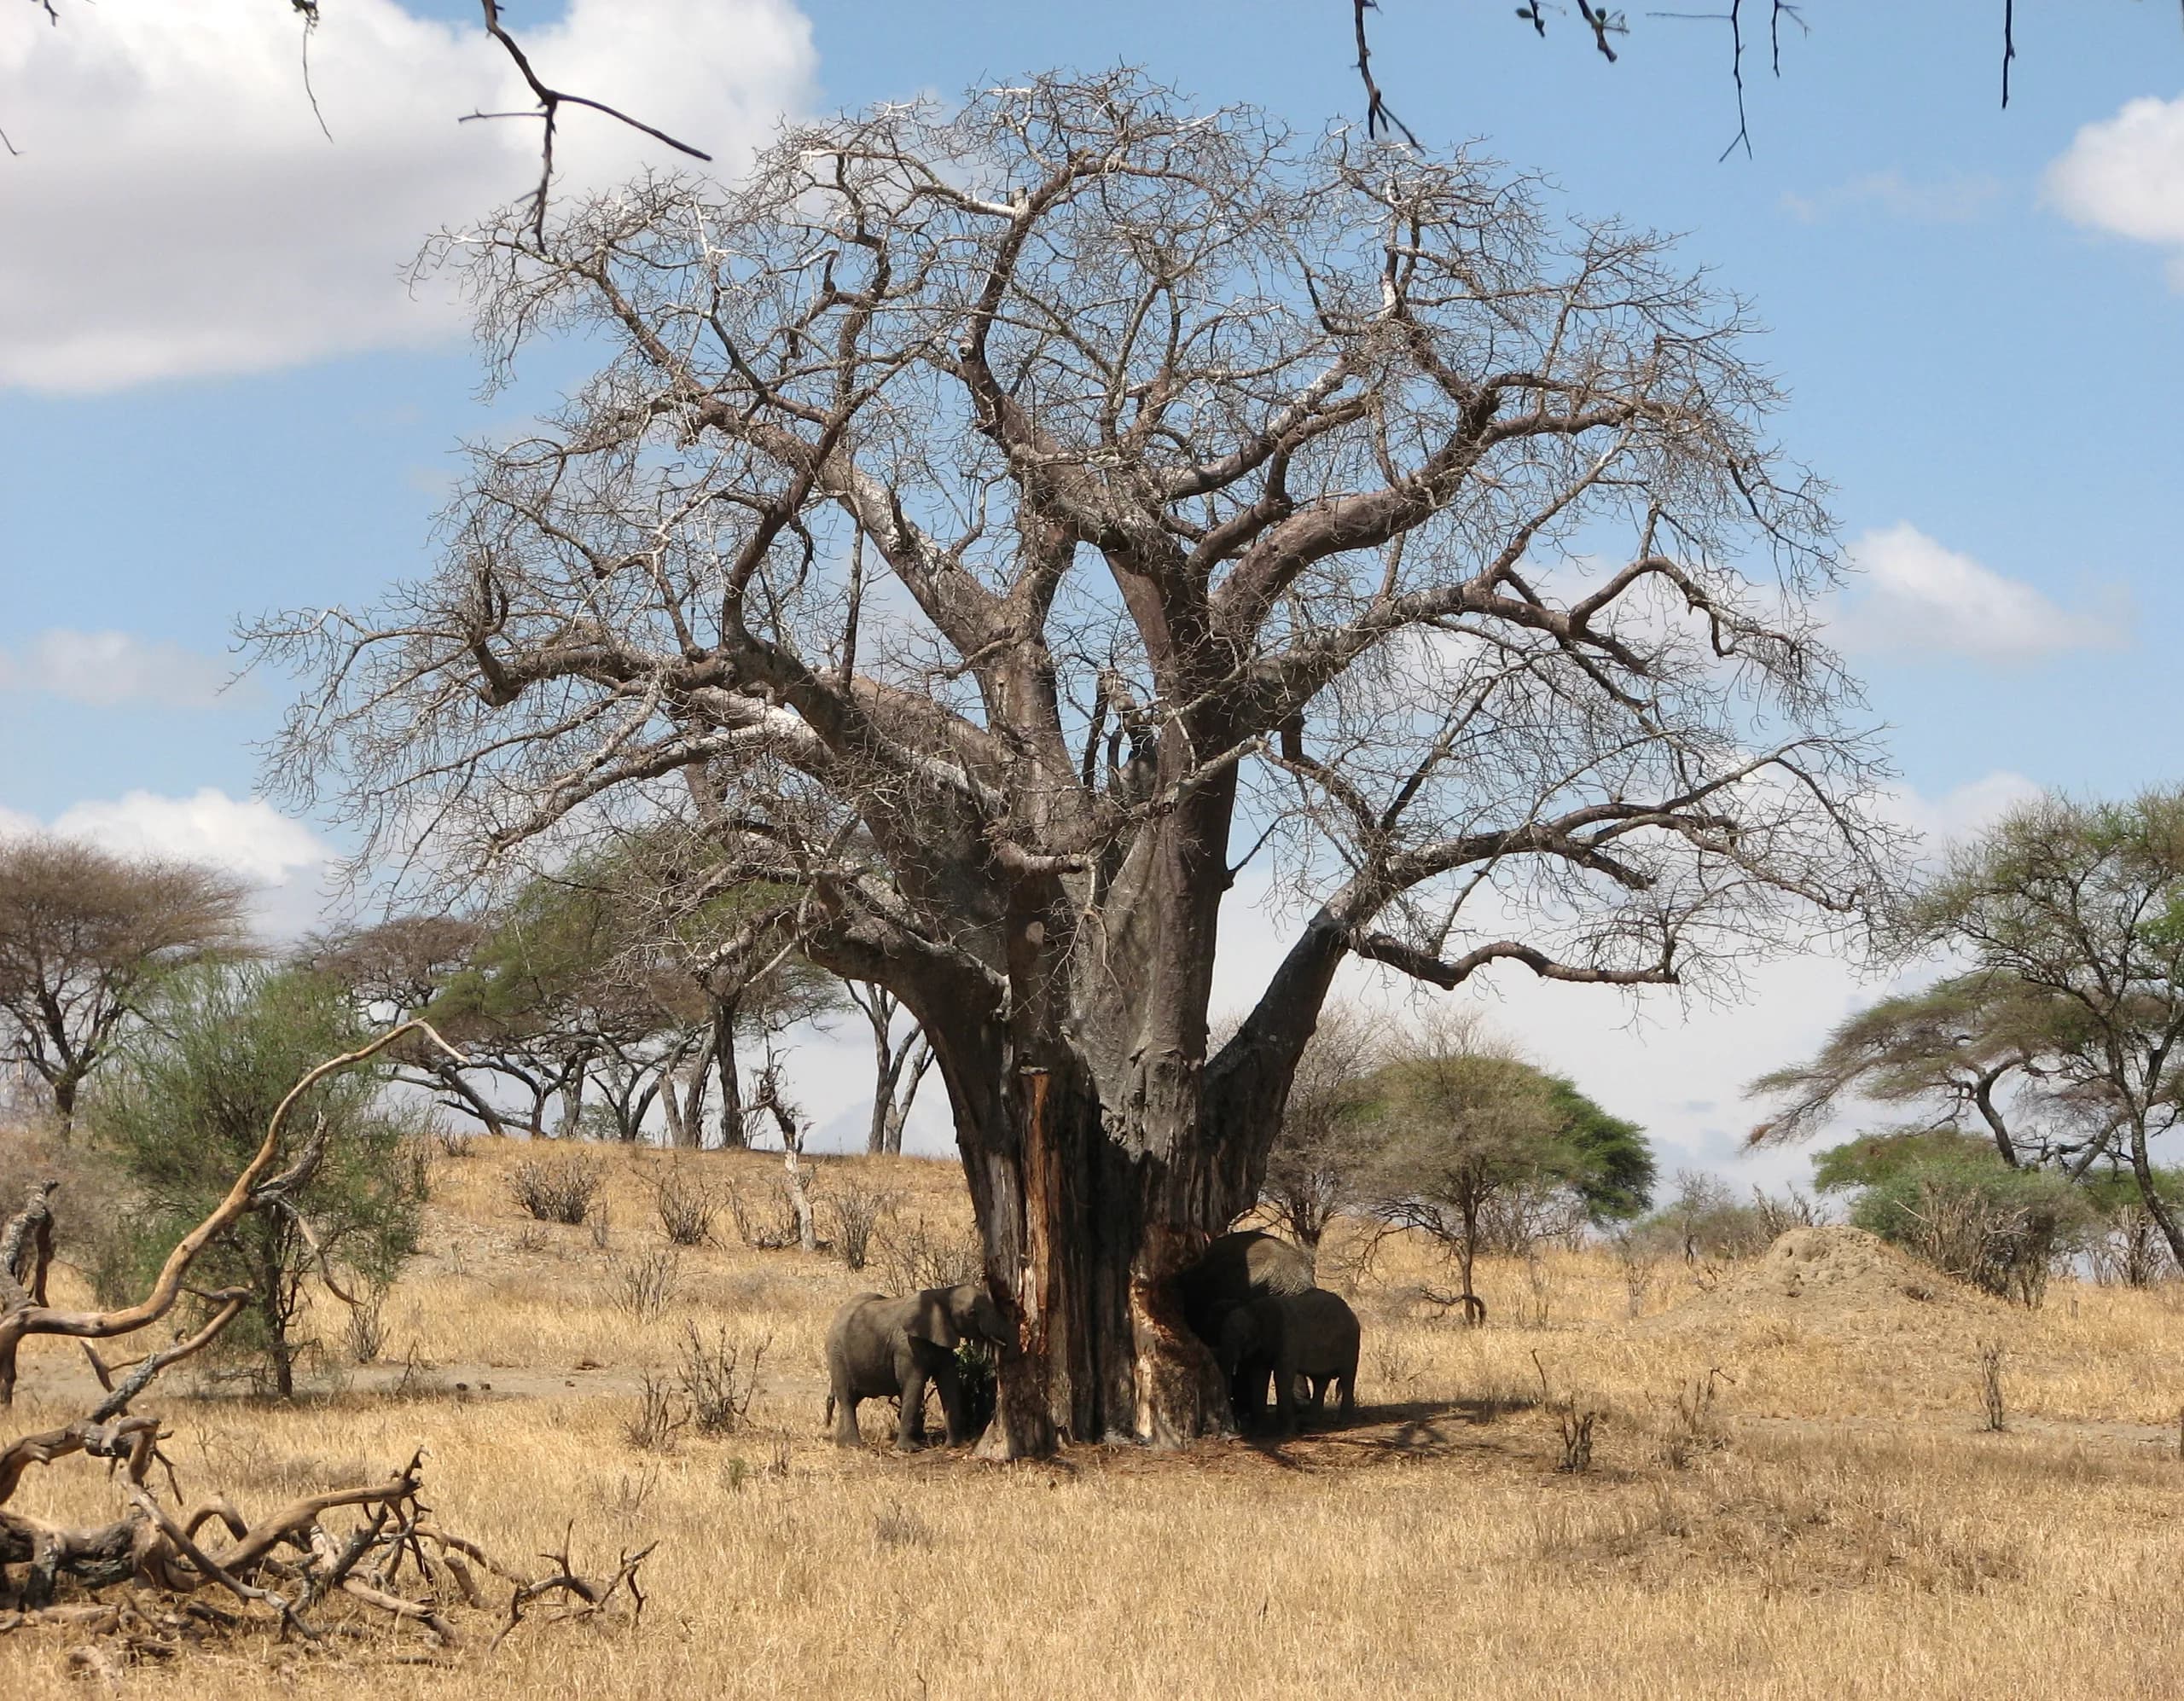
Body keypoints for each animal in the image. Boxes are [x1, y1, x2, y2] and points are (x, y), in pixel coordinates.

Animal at [824, 1282, 1009, 1450]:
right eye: (972, 1313)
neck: (942, 1294)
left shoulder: (941, 1339)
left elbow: (949, 1383)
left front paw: (954, 1445)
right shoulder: (907, 1346)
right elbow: (914, 1384)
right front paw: (909, 1449)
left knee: (850, 1401)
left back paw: (842, 1445)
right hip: (836, 1355)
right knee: (847, 1398)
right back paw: (854, 1446)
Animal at [1216, 1287, 1360, 1434]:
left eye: (1244, 1337)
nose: (1235, 1427)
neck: (1254, 1310)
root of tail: (1350, 1312)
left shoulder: (1288, 1339)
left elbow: (1282, 1376)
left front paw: (1286, 1432)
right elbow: (1259, 1377)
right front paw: (1258, 1431)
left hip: (1350, 1342)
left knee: (1346, 1377)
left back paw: (1342, 1421)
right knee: (1320, 1380)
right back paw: (1309, 1421)